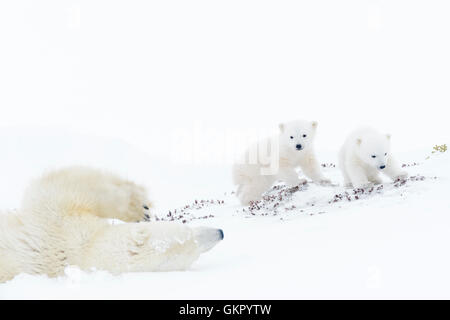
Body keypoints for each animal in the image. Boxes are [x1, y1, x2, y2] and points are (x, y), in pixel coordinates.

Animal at [0, 168, 224, 282]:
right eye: (188, 234)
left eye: (194, 255)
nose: (220, 232)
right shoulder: (55, 224)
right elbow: (62, 186)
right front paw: (140, 207)